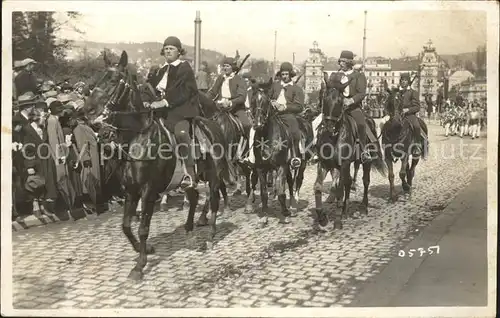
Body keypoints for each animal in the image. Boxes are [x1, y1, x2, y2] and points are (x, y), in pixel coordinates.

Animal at [83, 50, 234, 280]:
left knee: (214, 201)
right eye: (98, 78)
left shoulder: (148, 190)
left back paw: (209, 236)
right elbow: (126, 226)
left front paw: (140, 265)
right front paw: (143, 249)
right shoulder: (131, 190)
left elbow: (143, 228)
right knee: (194, 198)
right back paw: (189, 231)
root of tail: (214, 124)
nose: (87, 109)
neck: (139, 137)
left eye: (113, 80)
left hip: (214, 176)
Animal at [243, 80, 312, 227]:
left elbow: (281, 192)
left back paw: (293, 206)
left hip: (301, 163)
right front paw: (264, 216)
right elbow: (263, 193)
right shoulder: (261, 168)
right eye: (253, 101)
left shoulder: (281, 166)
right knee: (290, 182)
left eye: (266, 101)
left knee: (297, 181)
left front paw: (285, 214)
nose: (258, 124)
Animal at [312, 71, 386, 229]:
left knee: (365, 181)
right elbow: (318, 187)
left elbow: (339, 189)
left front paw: (337, 221)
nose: (329, 127)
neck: (334, 137)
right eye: (324, 97)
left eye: (340, 101)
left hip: (365, 162)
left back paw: (363, 207)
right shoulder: (325, 164)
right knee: (348, 182)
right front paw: (322, 217)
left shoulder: (344, 164)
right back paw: (345, 210)